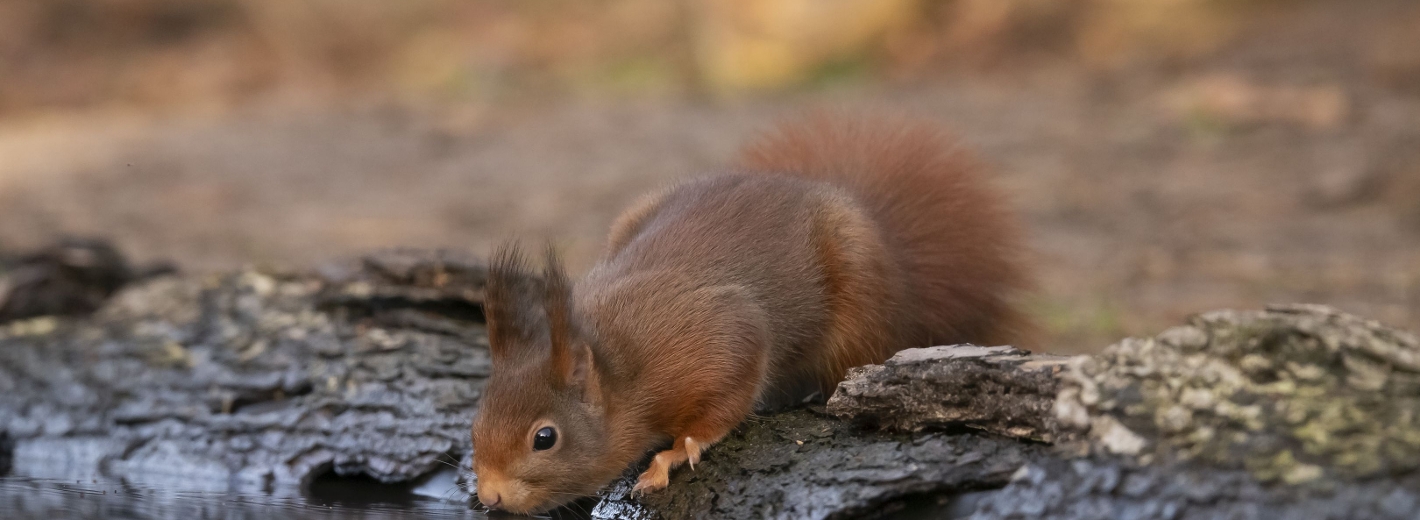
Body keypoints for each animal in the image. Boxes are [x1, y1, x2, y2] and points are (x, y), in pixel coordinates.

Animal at [469, 114, 1031, 514]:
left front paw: (674, 454)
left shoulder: (715, 335)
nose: (489, 496)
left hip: (859, 313)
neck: (619, 366)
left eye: (545, 438)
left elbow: (727, 395)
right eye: (477, 419)